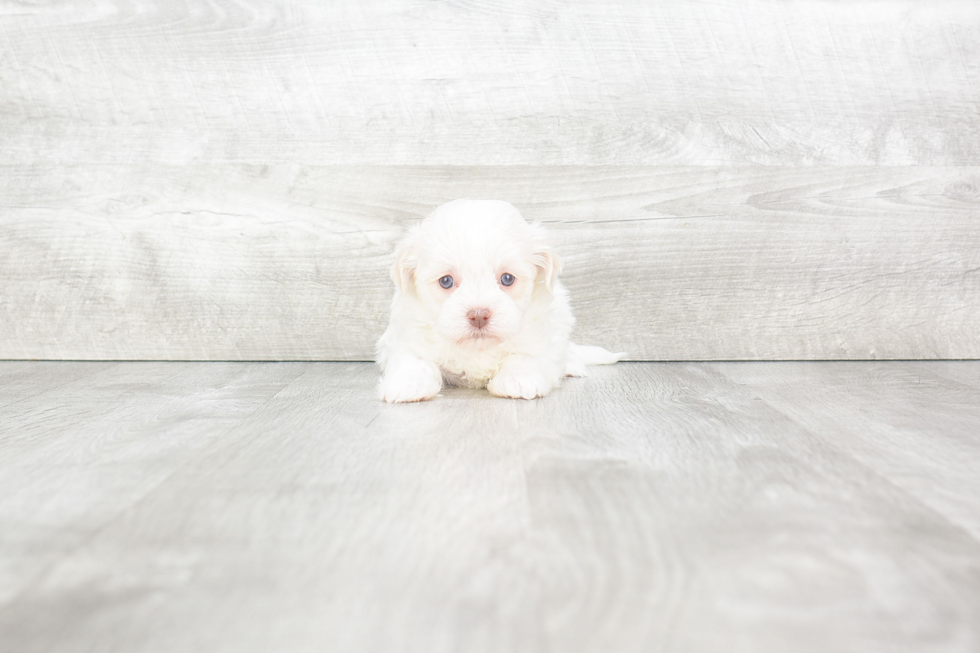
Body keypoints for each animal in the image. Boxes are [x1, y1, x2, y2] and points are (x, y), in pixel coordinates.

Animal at [376, 199, 620, 402]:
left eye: (507, 278)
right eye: (445, 281)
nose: (478, 315)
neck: (478, 349)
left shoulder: (544, 331)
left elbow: (528, 354)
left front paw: (518, 380)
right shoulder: (406, 333)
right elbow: (412, 358)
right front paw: (409, 383)